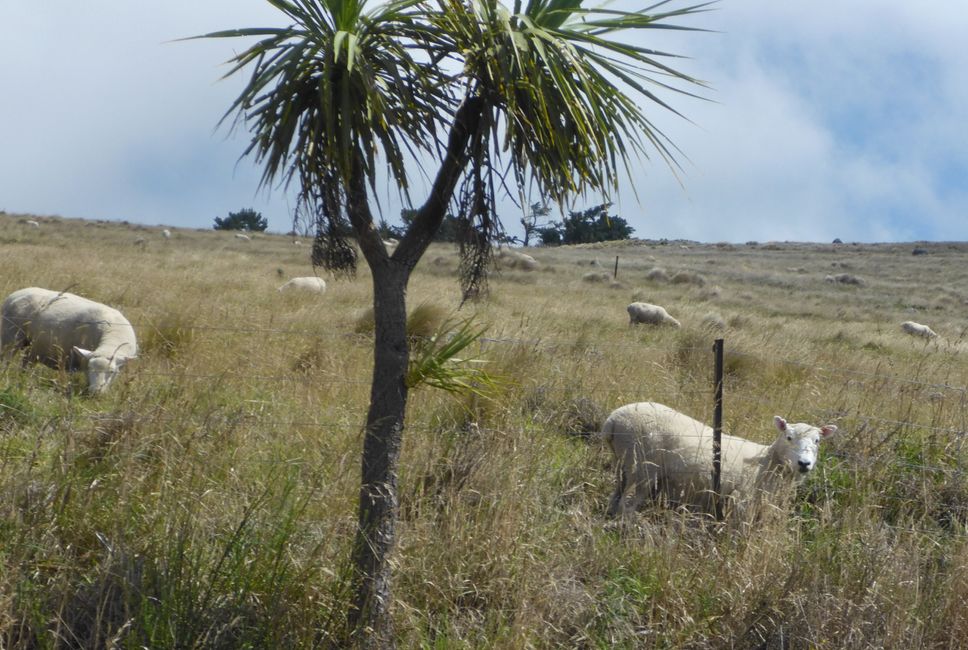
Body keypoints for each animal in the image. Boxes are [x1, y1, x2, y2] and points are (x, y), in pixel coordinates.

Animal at [1, 287, 138, 394]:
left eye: (112, 371)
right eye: (89, 368)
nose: (95, 392)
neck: (112, 339)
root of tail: (15, 295)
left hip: (33, 346)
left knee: (26, 363)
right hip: (10, 337)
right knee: (6, 359)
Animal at [602, 402, 836, 520]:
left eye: (817, 441)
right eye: (789, 437)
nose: (804, 464)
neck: (769, 461)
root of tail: (612, 420)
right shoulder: (742, 499)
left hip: (624, 464)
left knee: (617, 494)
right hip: (642, 466)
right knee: (627, 505)